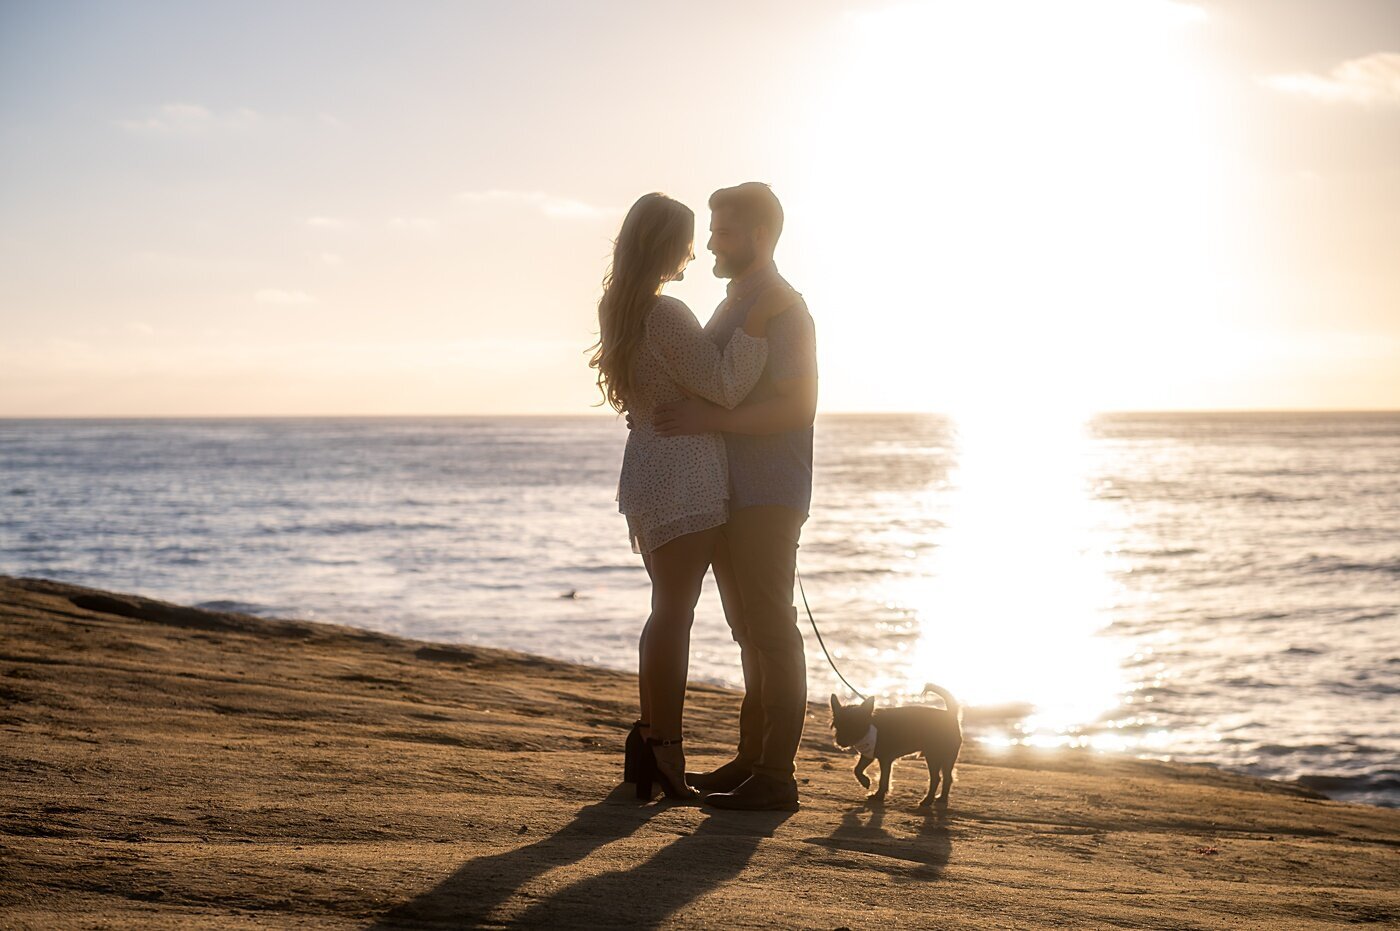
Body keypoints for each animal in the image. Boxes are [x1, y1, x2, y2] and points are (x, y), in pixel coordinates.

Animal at [828, 683, 963, 806]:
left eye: (854, 726)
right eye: (837, 726)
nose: (840, 742)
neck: (872, 725)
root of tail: (950, 714)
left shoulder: (885, 760)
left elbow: (883, 779)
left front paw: (879, 796)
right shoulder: (868, 755)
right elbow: (857, 769)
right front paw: (865, 781)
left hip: (934, 757)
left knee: (936, 778)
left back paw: (928, 800)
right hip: (944, 759)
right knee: (947, 778)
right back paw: (942, 798)